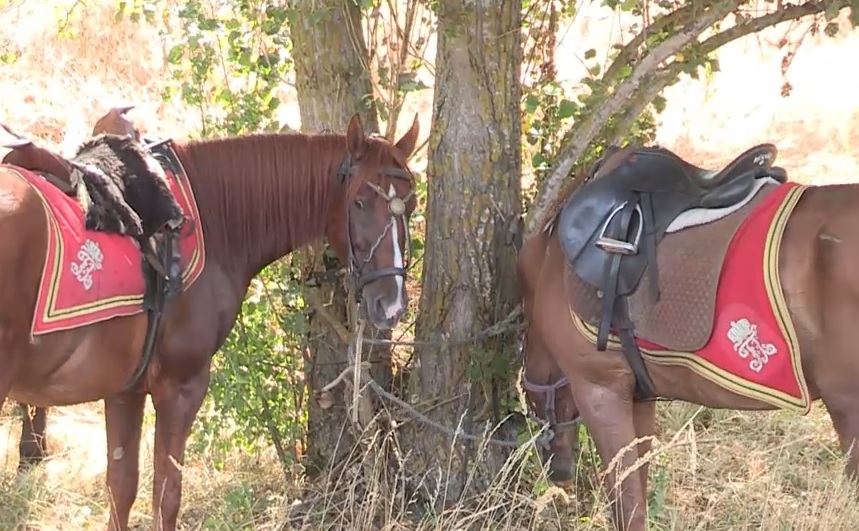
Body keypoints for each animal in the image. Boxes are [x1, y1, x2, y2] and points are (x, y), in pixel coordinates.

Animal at [0, 113, 420, 531]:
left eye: (412, 204)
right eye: (360, 202)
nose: (392, 304)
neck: (210, 217)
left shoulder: (125, 389)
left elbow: (122, 488)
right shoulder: (181, 387)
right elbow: (166, 497)